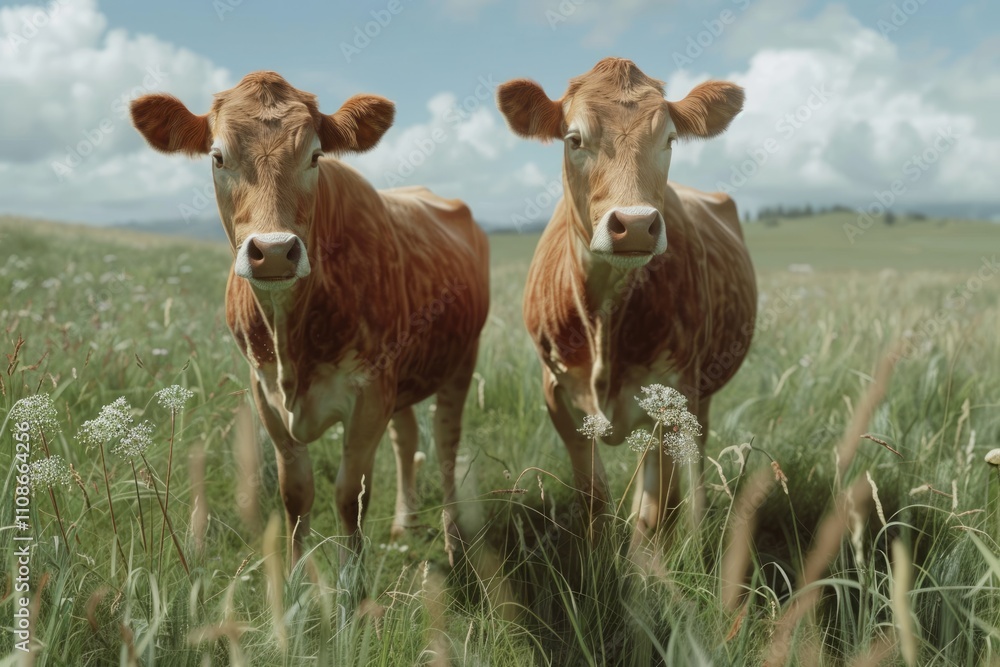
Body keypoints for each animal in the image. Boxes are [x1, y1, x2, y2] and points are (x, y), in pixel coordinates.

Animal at [130, 71, 490, 569]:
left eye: (315, 156)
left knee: (447, 445)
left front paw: (351, 579)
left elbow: (350, 496)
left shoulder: (370, 393)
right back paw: (405, 523)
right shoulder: (265, 393)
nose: (275, 250)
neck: (290, 338)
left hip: (461, 361)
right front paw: (297, 574)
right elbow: (296, 493)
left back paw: (454, 539)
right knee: (408, 439)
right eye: (218, 156)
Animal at [496, 58, 756, 544]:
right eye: (574, 139)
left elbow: (654, 515)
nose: (635, 225)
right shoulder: (557, 394)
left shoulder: (673, 394)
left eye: (669, 139)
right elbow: (594, 499)